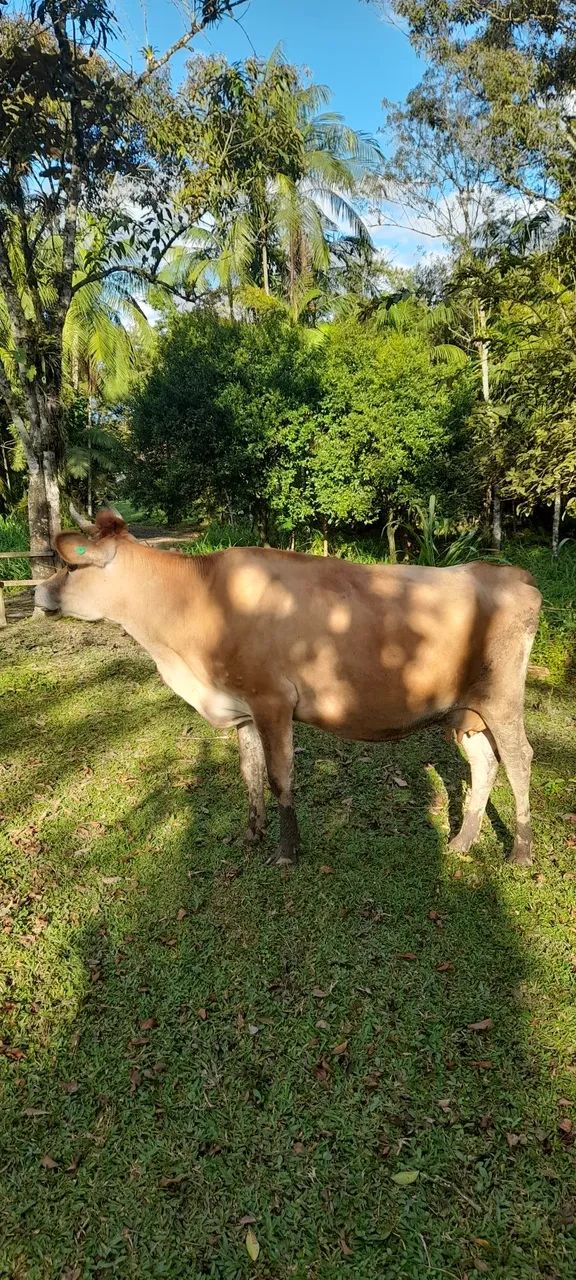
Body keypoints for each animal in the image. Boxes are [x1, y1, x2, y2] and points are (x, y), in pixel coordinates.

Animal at [35, 510, 542, 868]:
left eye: (71, 566)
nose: (38, 593)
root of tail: (511, 574)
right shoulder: (241, 706)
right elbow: (250, 773)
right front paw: (251, 834)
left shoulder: (273, 700)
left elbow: (280, 776)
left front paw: (287, 850)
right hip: (462, 711)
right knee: (485, 763)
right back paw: (462, 841)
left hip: (501, 700)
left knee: (519, 760)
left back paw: (520, 851)